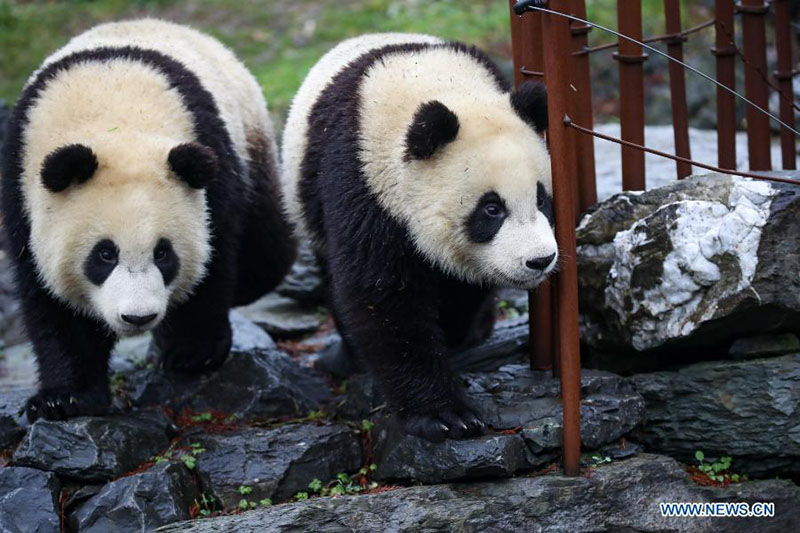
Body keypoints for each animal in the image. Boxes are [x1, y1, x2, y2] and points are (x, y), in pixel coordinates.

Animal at [0, 19, 296, 421]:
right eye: (104, 255)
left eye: (163, 253)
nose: (138, 318)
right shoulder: (21, 195)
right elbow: (50, 300)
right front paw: (65, 399)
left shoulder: (212, 168)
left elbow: (213, 260)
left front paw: (192, 352)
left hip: (252, 143)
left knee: (266, 254)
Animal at [281, 33, 556, 442]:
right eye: (491, 209)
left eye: (541, 198)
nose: (539, 260)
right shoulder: (360, 179)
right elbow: (383, 295)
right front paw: (446, 415)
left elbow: (461, 285)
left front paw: (455, 330)